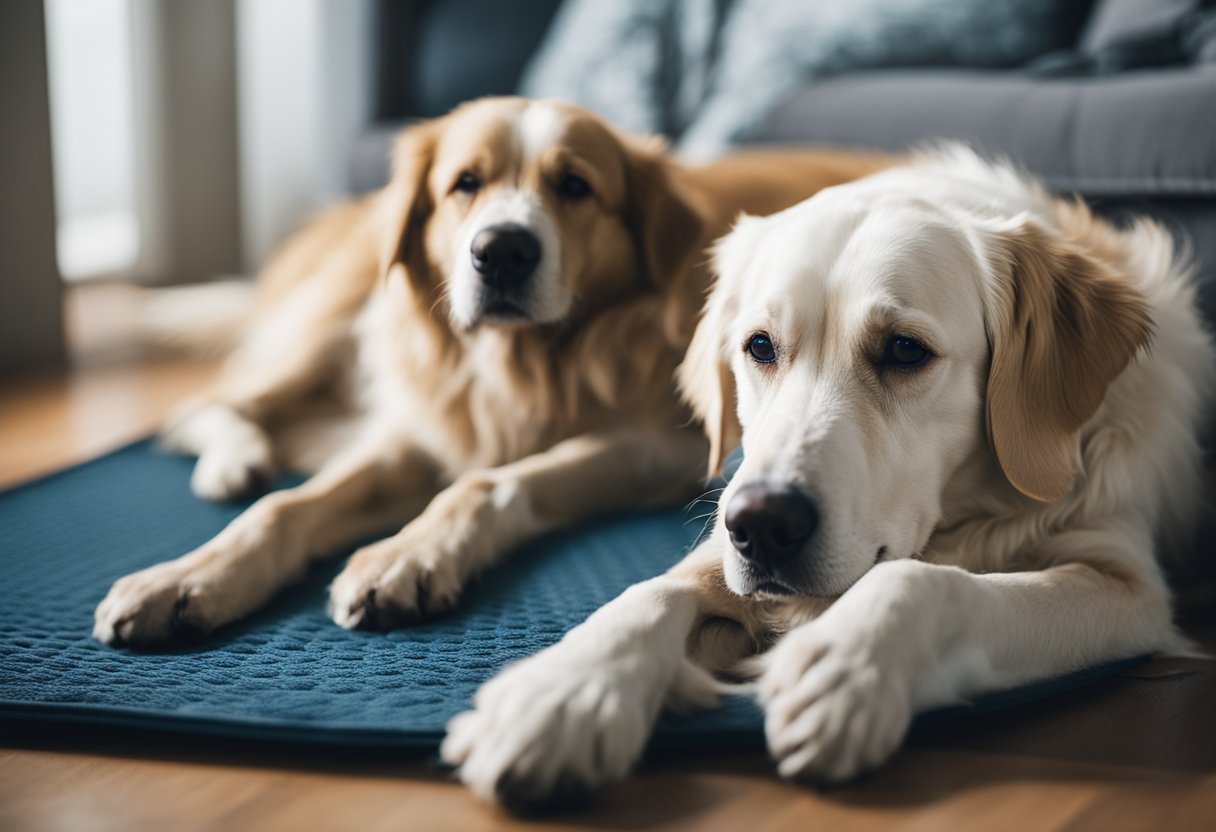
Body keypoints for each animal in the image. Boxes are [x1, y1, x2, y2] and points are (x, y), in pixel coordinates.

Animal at [442, 147, 1211, 807]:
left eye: (905, 351)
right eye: (758, 346)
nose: (761, 526)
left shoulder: (1124, 583)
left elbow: (930, 580)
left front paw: (845, 661)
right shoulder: (724, 540)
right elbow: (649, 593)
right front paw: (564, 691)